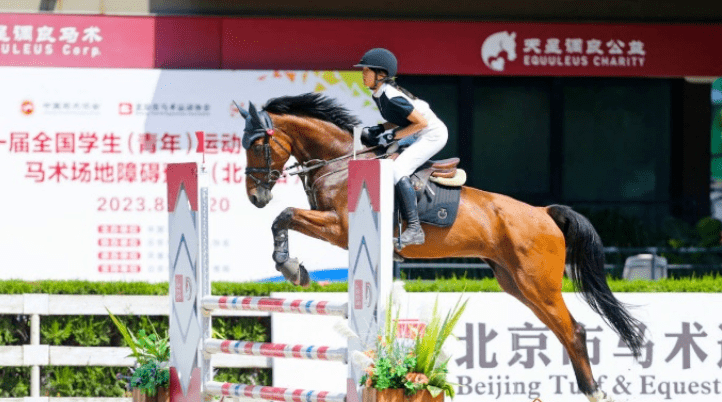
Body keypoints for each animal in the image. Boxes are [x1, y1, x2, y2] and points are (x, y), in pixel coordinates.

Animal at [239, 92, 644, 402]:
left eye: (259, 144)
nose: (256, 197)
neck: (340, 164)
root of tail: (545, 213)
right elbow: (284, 218)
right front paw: (292, 265)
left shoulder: (340, 227)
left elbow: (285, 216)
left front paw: (291, 267)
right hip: (516, 284)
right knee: (562, 330)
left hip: (537, 285)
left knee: (573, 330)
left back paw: (593, 391)